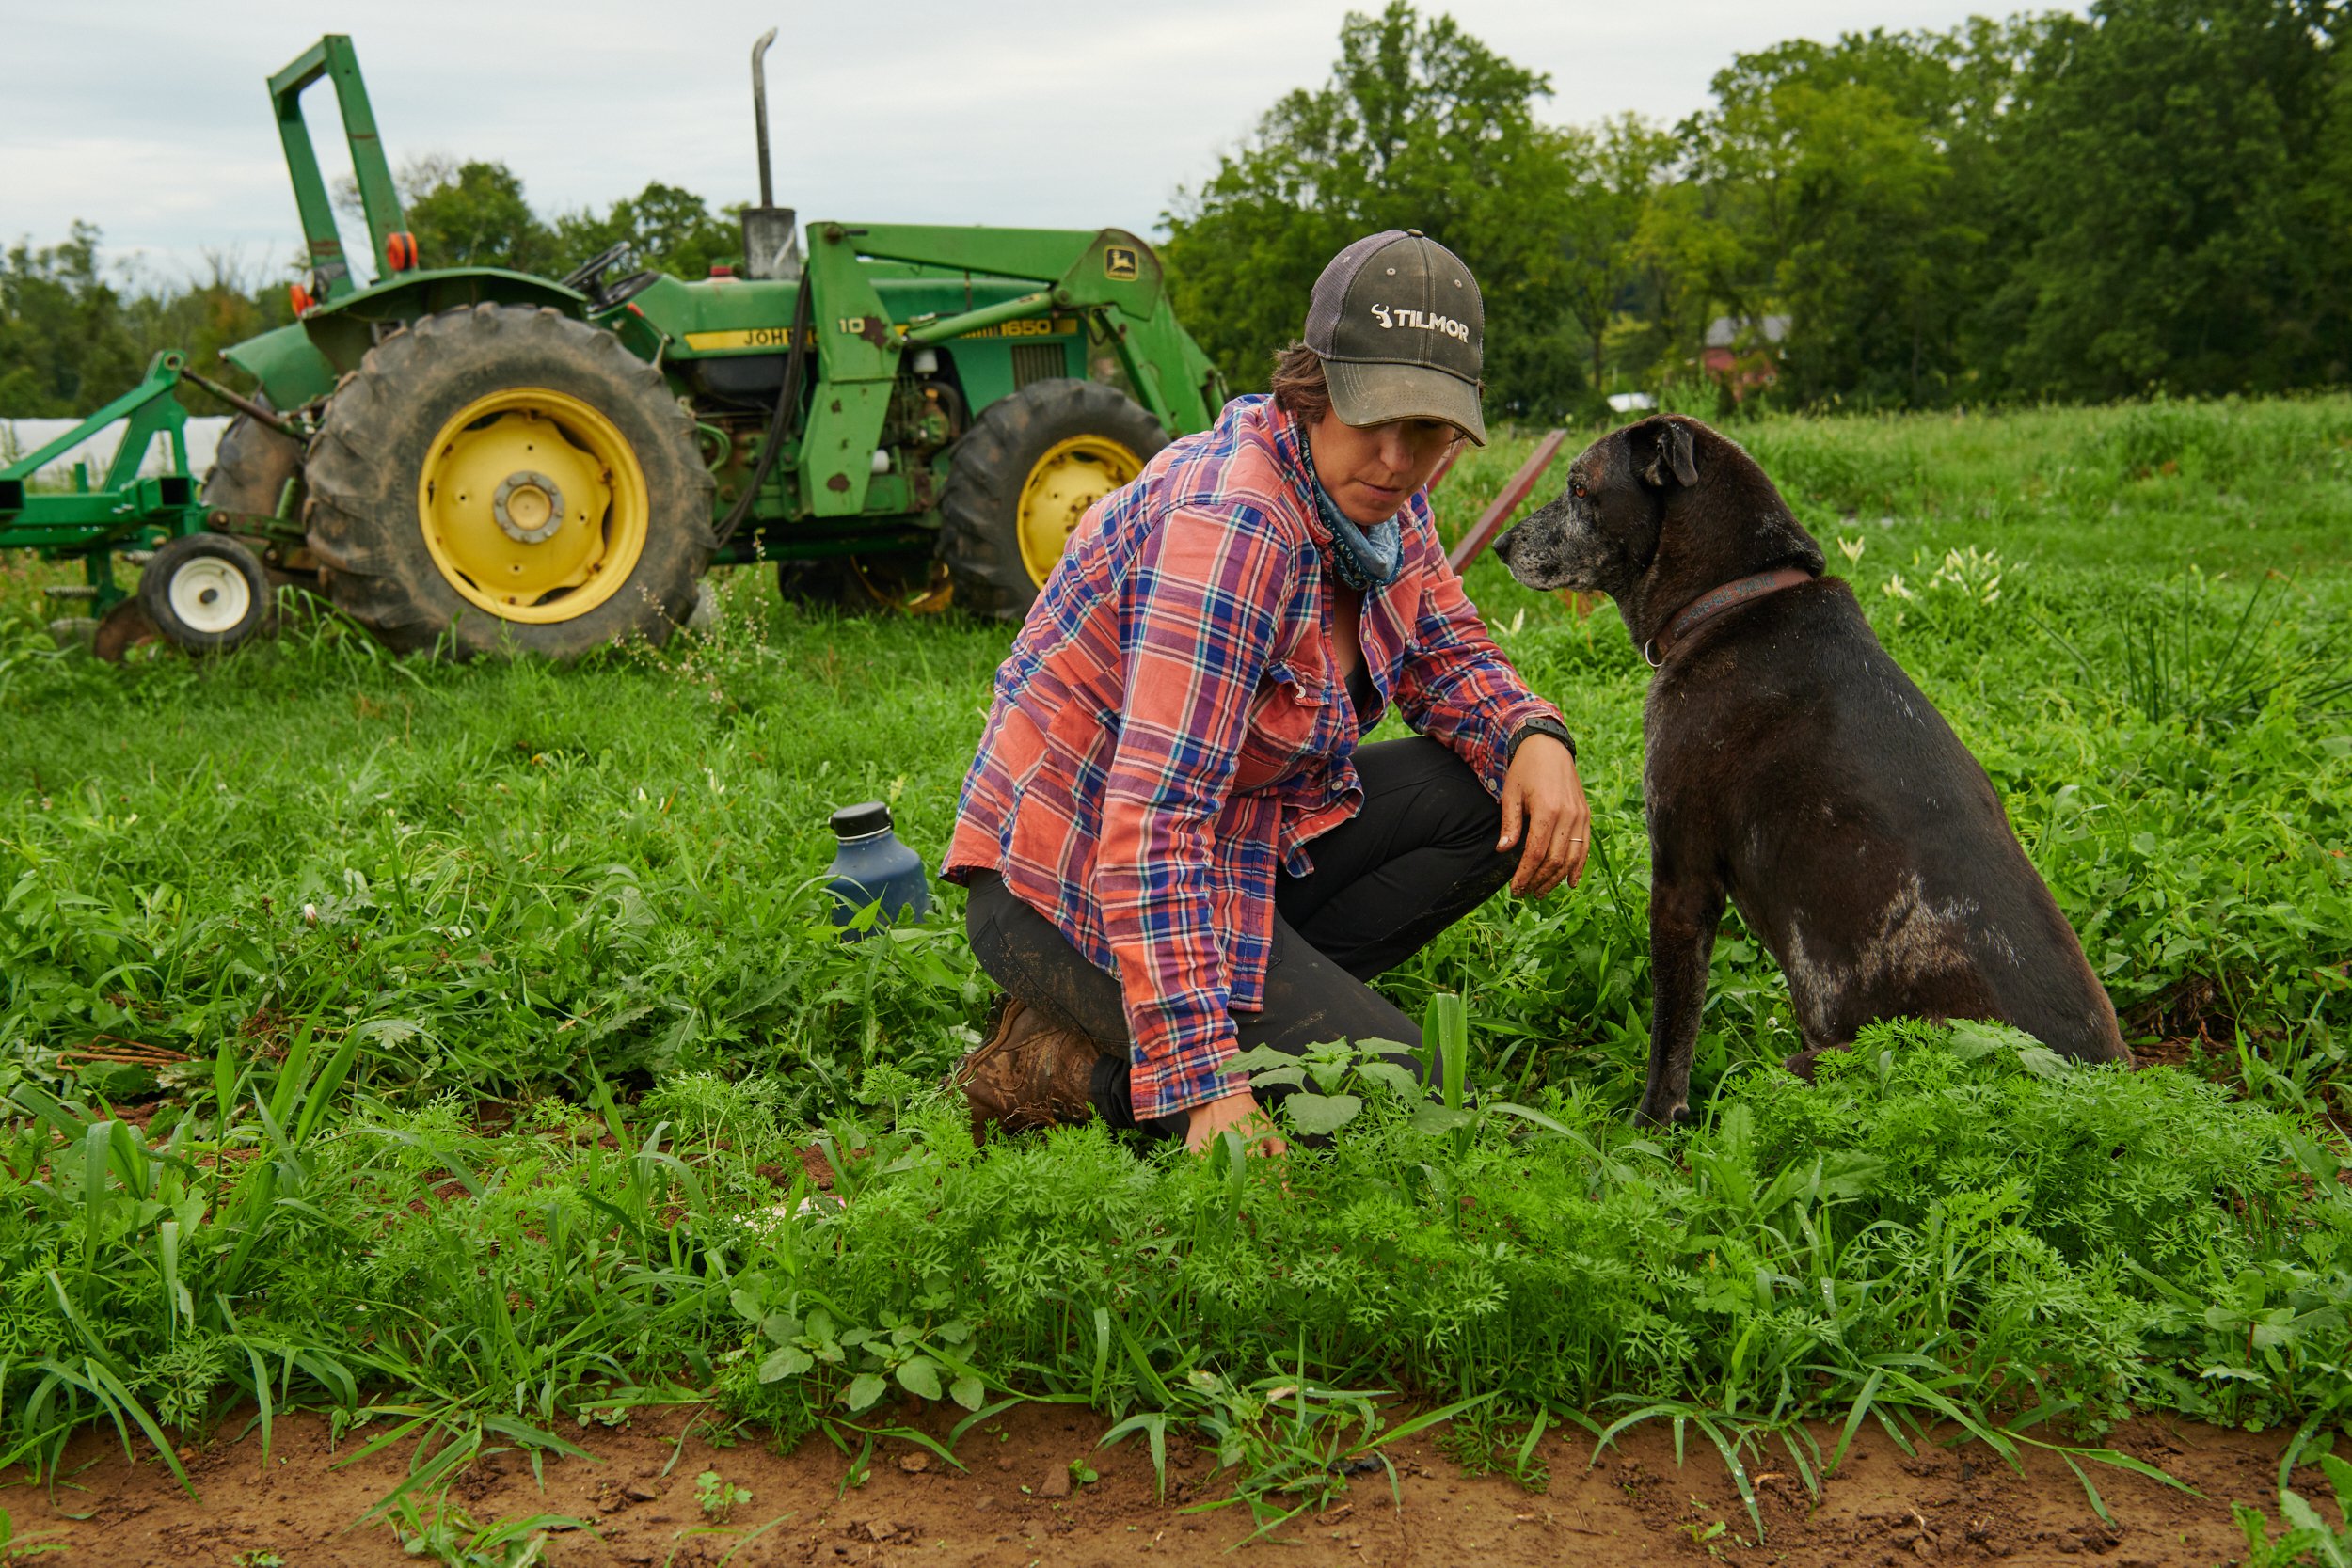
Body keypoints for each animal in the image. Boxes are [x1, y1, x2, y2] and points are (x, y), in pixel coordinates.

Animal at [1496, 413, 2145, 1128]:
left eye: (1580, 487)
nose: (1498, 544)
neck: (1732, 600)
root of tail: (2094, 1086)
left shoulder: (1682, 880)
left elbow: (1673, 1035)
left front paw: (1648, 1128)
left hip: (1807, 1065)